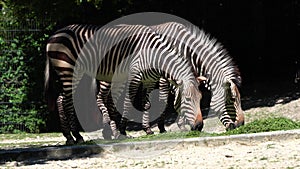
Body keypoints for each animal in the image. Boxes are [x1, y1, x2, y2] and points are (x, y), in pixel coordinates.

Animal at [44, 23, 204, 145]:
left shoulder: (148, 80)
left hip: (75, 73)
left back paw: (69, 136)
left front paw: (147, 129)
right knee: (68, 101)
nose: (199, 126)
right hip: (68, 69)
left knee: (61, 98)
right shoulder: (135, 77)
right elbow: (128, 103)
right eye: (187, 99)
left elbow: (146, 104)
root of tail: (54, 34)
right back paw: (77, 136)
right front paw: (122, 131)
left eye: (201, 98)